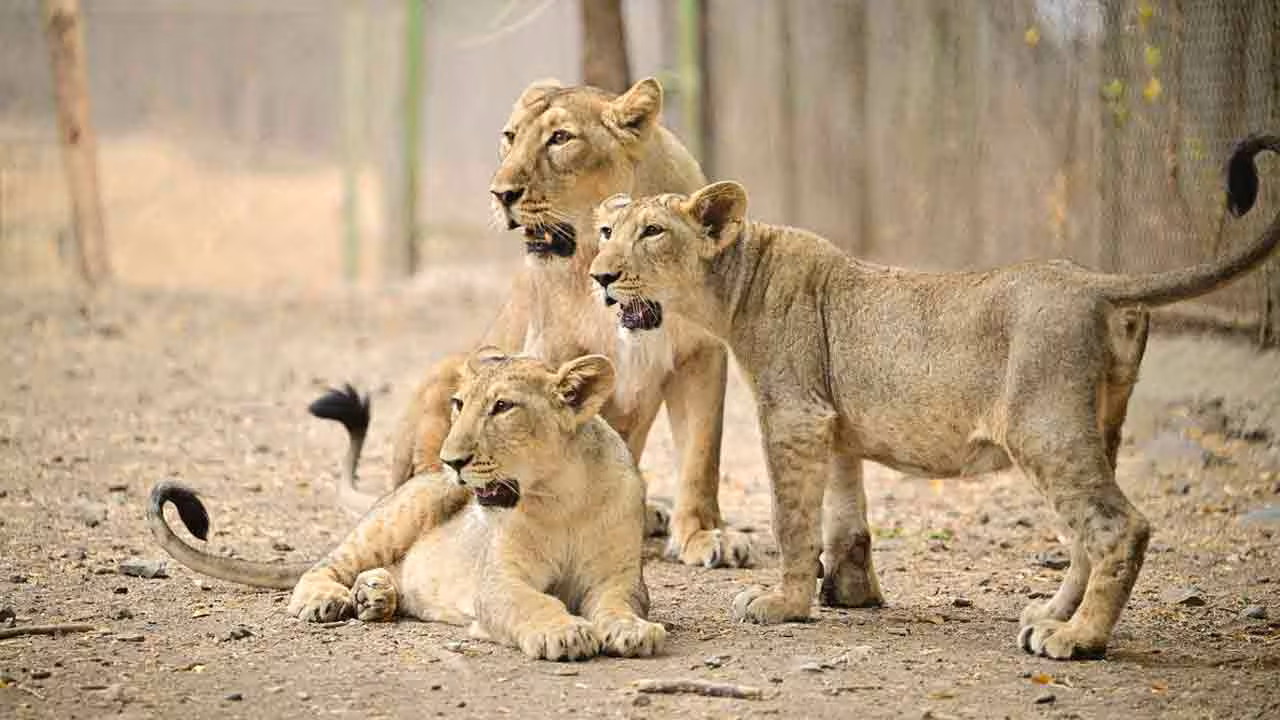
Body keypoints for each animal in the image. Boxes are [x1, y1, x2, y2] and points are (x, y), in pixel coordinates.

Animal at [148, 350, 666, 661]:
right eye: (459, 404)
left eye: (502, 407)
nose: (452, 460)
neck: (562, 497)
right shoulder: (498, 582)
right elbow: (534, 601)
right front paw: (565, 633)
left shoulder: (619, 578)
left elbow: (619, 604)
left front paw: (632, 631)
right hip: (404, 511)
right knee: (319, 567)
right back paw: (331, 600)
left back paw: (375, 596)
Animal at [371, 77, 751, 569]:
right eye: (510, 137)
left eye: (560, 138)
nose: (500, 194)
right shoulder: (549, 353)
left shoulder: (700, 355)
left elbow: (701, 455)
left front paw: (704, 534)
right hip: (445, 373)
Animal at [585, 135, 1280, 659]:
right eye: (605, 230)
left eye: (651, 232)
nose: (599, 276)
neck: (733, 282)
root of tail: (1097, 283)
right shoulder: (831, 421)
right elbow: (845, 514)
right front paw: (850, 593)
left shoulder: (794, 414)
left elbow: (792, 518)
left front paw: (782, 603)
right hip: (1096, 425)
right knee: (1086, 531)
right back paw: (1050, 616)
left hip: (1043, 426)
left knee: (1118, 525)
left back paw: (1078, 638)